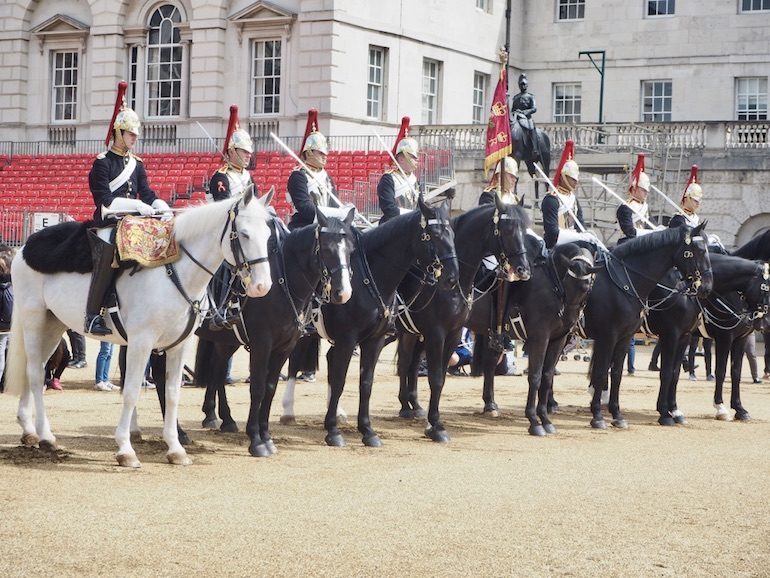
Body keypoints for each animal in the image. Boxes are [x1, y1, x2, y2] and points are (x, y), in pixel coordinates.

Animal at [2, 189, 272, 468]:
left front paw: (176, 449)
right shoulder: (142, 342)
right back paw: (45, 436)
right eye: (243, 234)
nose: (262, 286)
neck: (175, 272)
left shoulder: (179, 346)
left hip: (54, 325)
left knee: (36, 368)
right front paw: (125, 449)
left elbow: (172, 393)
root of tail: (25, 247)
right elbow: (131, 392)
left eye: (268, 235)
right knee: (35, 373)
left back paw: (29, 430)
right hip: (34, 319)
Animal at [392, 195, 532, 440]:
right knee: (405, 361)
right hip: (406, 331)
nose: (523, 270)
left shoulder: (455, 333)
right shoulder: (437, 333)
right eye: (507, 230)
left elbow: (444, 376)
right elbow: (436, 377)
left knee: (413, 363)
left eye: (525, 230)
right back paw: (405, 407)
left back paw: (414, 405)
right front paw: (435, 426)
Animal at [464, 237, 604, 432]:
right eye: (567, 282)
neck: (551, 283)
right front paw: (534, 420)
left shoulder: (558, 340)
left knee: (490, 363)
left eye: (586, 287)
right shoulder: (540, 337)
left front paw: (545, 418)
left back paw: (490, 405)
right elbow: (535, 376)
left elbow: (547, 376)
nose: (569, 319)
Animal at [584, 224, 712, 428]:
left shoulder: (630, 337)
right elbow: (604, 371)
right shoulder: (612, 336)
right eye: (700, 250)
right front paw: (665, 413)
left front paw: (617, 415)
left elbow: (618, 374)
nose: (706, 288)